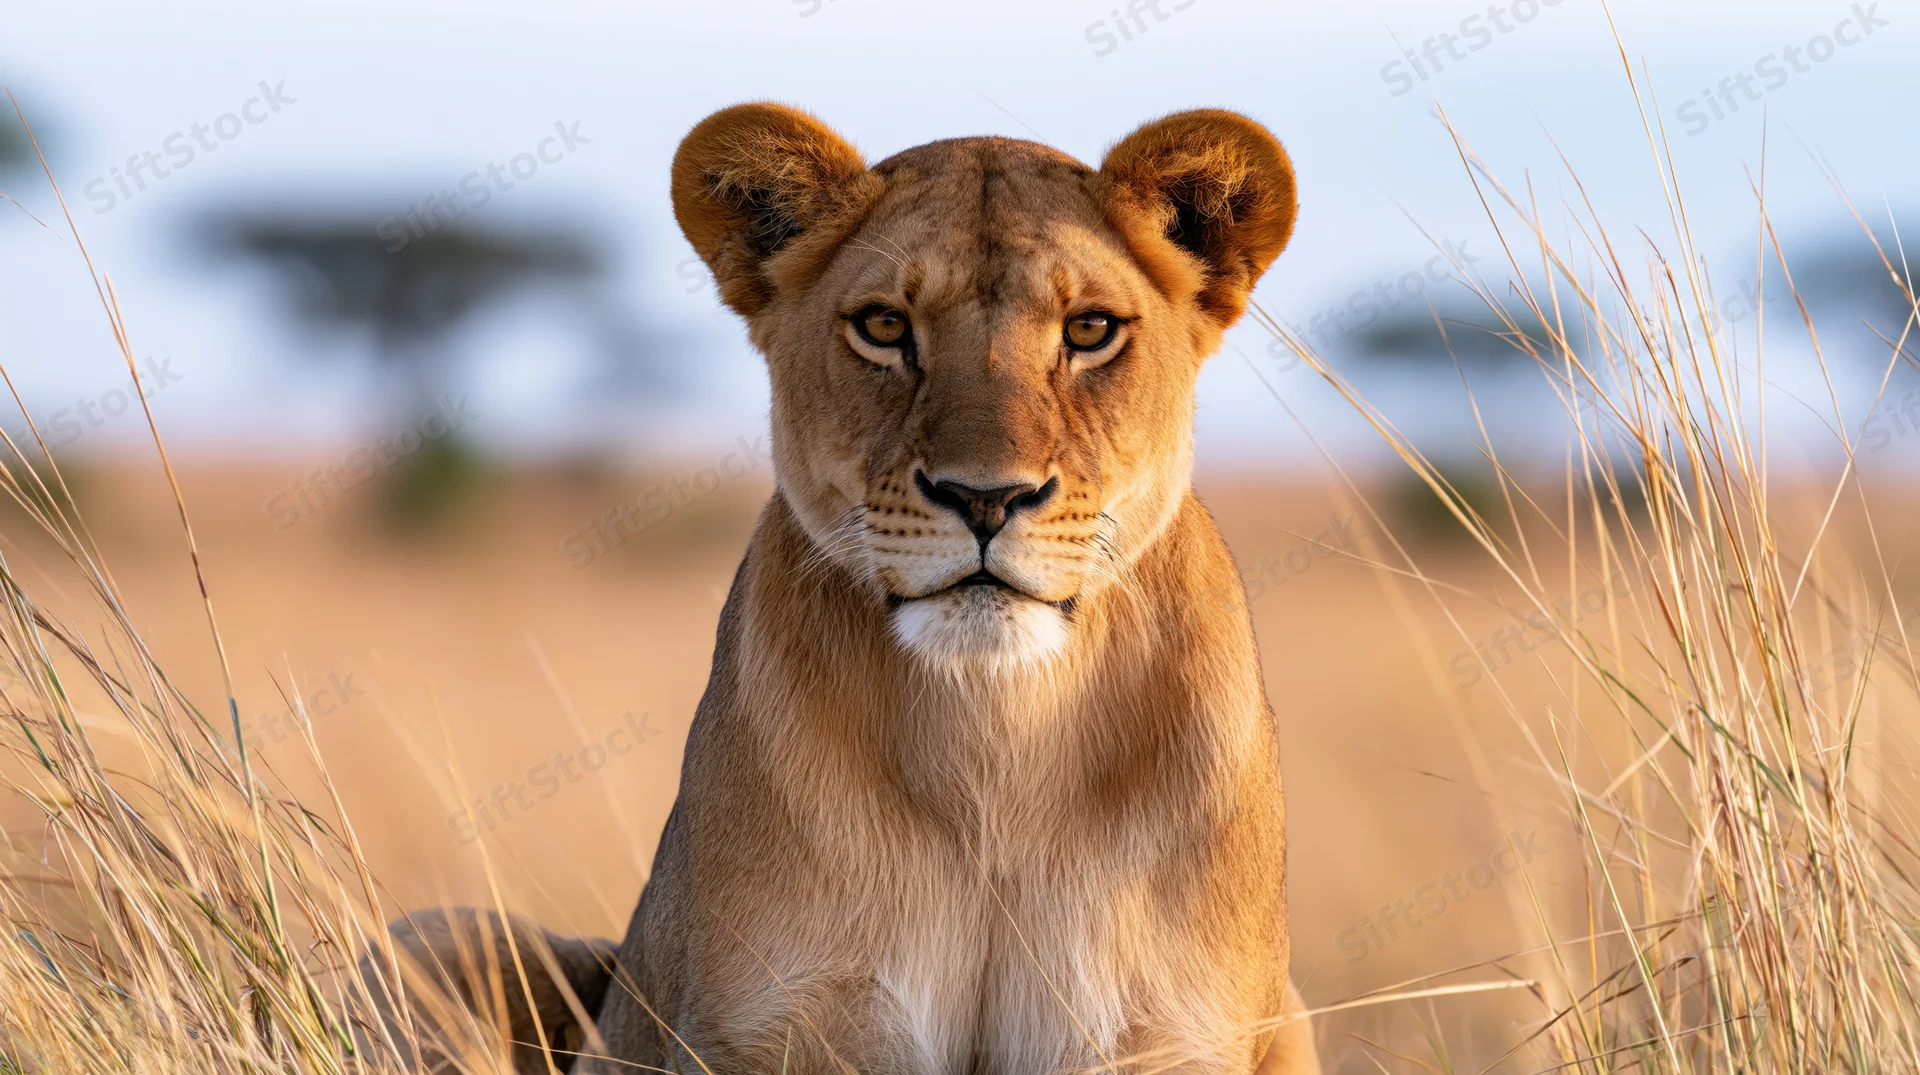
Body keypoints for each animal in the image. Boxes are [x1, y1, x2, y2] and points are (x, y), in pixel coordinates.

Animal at [362, 103, 1319, 1075]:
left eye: (1089, 330)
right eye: (884, 326)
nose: (985, 497)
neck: (997, 745)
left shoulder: (1164, 1035)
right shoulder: (769, 1028)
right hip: (435, 933)